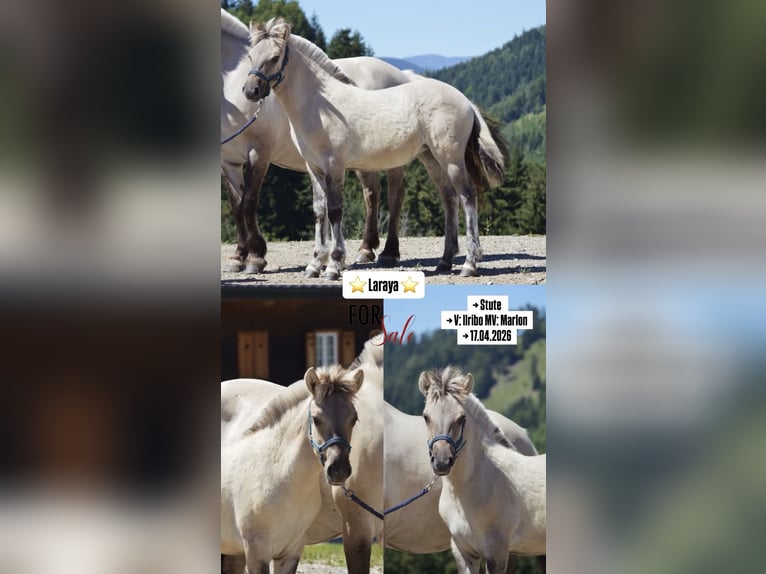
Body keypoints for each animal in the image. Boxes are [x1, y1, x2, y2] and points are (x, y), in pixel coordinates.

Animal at [222, 9, 415, 274]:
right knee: (371, 193)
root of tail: (402, 75)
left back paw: (389, 252)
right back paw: (366, 249)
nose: (251, 92)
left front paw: (255, 257)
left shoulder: (258, 154)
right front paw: (239, 256)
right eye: (250, 56)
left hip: (392, 160)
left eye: (274, 58)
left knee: (395, 195)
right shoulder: (229, 160)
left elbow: (249, 202)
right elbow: (236, 205)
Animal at [243, 18, 507, 278]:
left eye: (275, 57)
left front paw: (334, 265)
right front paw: (314, 264)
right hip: (431, 157)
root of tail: (465, 101)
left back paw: (469, 264)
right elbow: (319, 211)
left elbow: (335, 210)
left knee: (467, 196)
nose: (250, 91)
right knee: (449, 197)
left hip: (451, 158)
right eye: (250, 56)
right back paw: (444, 261)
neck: (319, 104)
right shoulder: (313, 167)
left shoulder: (334, 166)